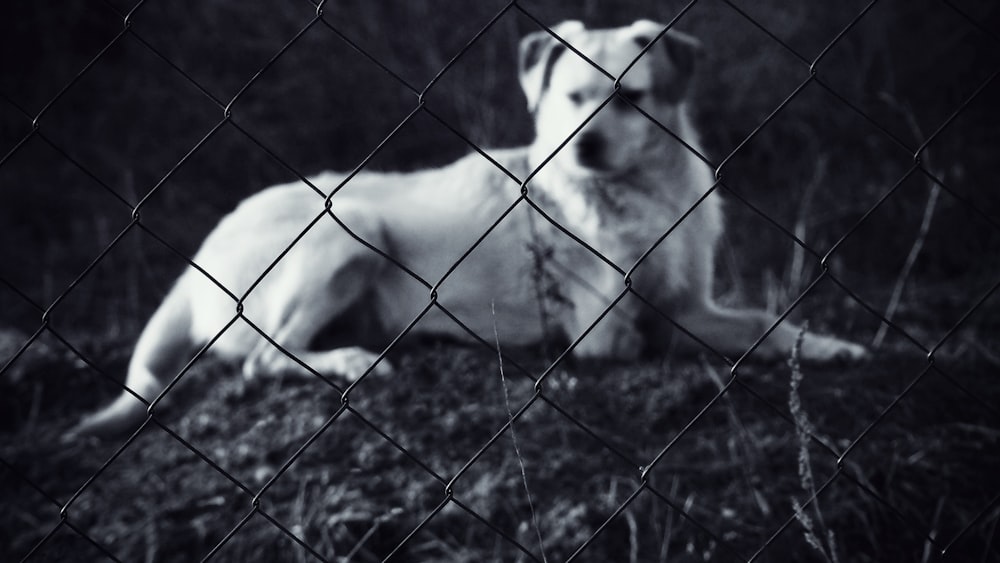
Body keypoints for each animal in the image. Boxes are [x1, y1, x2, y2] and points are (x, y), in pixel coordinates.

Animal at [70, 19, 868, 438]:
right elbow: (646, 340)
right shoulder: (605, 331)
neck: (644, 196)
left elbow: (767, 323)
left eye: (630, 98)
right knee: (264, 357)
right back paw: (353, 361)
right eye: (569, 97)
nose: (583, 146)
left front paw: (831, 345)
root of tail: (197, 256)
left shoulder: (692, 304)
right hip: (349, 225)